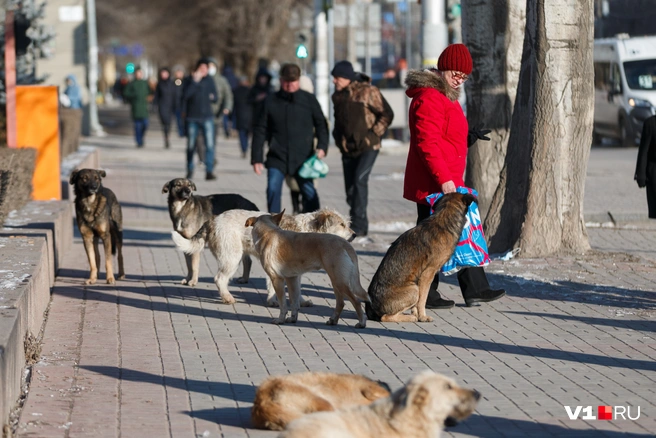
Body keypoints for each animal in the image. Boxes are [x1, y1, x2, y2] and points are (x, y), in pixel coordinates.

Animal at [169, 208, 354, 304]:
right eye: (341, 224)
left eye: (346, 223)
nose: (354, 235)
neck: (307, 229)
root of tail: (213, 220)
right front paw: (275, 302)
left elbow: (296, 289)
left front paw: (298, 301)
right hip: (232, 257)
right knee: (220, 279)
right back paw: (228, 298)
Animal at [366, 193, 474, 324]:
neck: (444, 220)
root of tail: (370, 306)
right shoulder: (427, 274)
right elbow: (423, 299)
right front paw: (422, 317)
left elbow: (417, 304)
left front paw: (417, 314)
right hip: (414, 289)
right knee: (385, 317)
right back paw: (409, 317)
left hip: (414, 286)